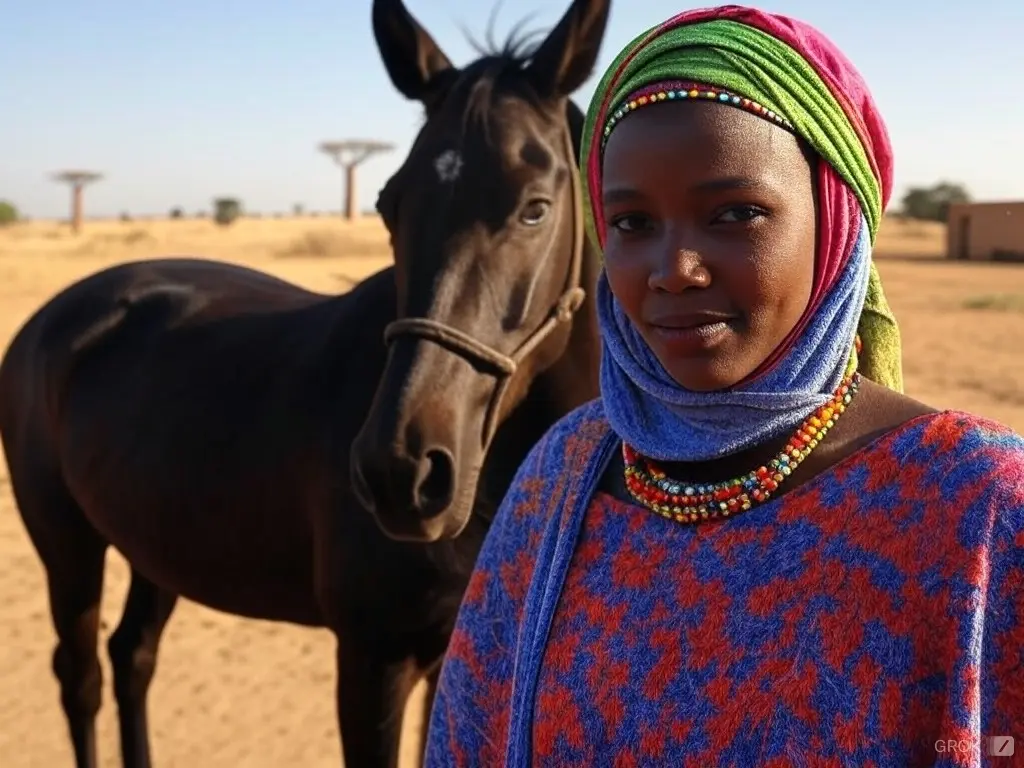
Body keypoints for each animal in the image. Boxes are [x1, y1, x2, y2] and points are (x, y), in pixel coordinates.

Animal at [0, 1, 606, 768]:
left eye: (534, 206)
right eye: (388, 203)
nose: (401, 472)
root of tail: (50, 318)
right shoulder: (373, 661)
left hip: (153, 542)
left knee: (132, 655)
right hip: (67, 546)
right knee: (80, 680)